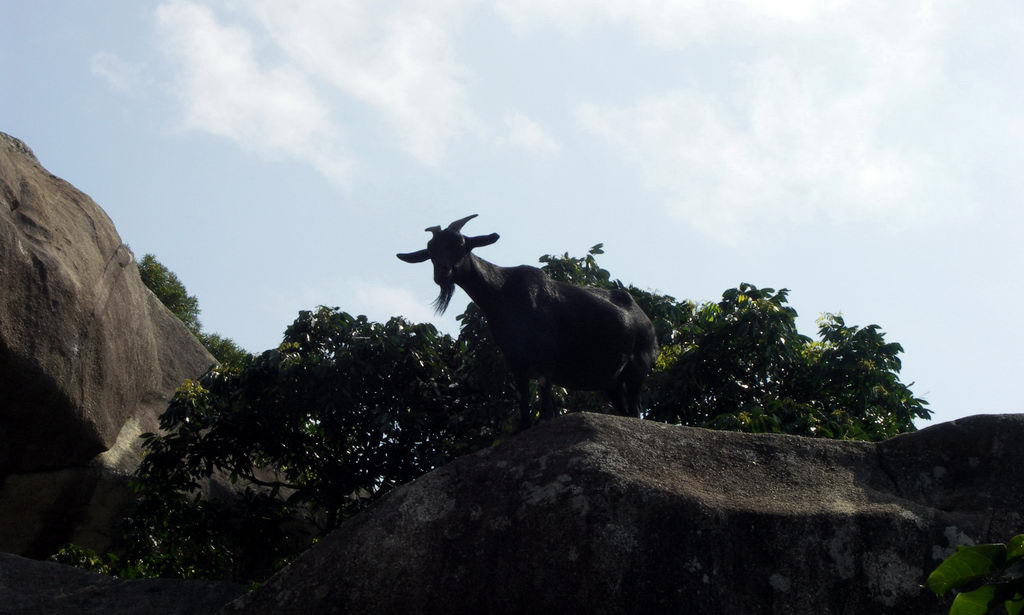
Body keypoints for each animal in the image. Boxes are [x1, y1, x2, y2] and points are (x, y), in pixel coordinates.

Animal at [395, 214, 659, 427]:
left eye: (460, 243)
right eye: (430, 250)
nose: (442, 274)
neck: (501, 292)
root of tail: (646, 321)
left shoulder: (546, 351)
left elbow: (544, 386)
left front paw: (545, 420)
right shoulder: (514, 356)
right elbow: (522, 392)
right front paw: (522, 427)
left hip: (638, 365)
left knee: (635, 408)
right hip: (611, 382)